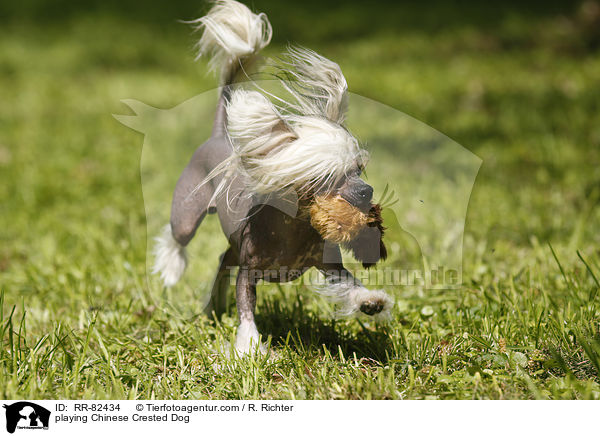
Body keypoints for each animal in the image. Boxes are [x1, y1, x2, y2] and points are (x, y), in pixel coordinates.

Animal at [152, 0, 392, 354]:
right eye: (326, 176)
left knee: (222, 259)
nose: (367, 191)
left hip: (233, 244)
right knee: (178, 237)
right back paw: (171, 269)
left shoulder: (329, 267)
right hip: (187, 214)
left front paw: (370, 301)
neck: (295, 227)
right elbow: (246, 308)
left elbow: (349, 283)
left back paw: (213, 306)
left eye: (358, 170)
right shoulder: (248, 273)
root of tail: (219, 135)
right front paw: (250, 348)